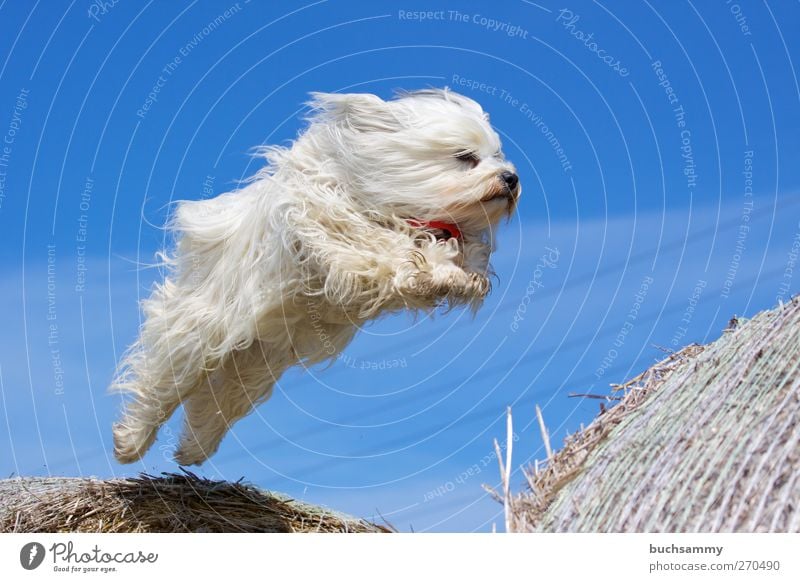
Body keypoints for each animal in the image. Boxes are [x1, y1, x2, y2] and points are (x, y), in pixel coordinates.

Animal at [114, 90, 520, 466]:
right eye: (465, 156)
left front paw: (462, 276)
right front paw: (435, 266)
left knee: (220, 399)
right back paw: (130, 441)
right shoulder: (330, 225)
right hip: (205, 327)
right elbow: (382, 246)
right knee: (165, 380)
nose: (511, 177)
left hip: (256, 358)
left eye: (497, 156)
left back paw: (192, 449)